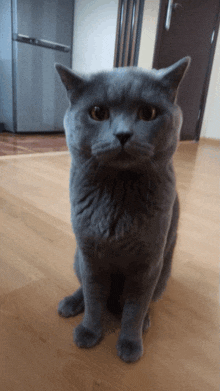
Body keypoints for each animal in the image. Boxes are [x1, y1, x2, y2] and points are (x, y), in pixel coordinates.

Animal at [55, 58, 191, 364]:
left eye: (148, 113)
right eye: (97, 112)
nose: (123, 134)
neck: (118, 196)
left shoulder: (148, 263)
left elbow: (135, 308)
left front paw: (130, 343)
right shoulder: (90, 256)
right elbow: (94, 298)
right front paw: (89, 332)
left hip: (163, 273)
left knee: (141, 303)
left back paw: (144, 320)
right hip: (77, 258)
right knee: (85, 289)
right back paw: (70, 303)